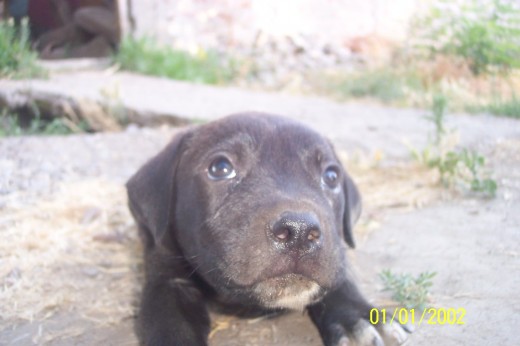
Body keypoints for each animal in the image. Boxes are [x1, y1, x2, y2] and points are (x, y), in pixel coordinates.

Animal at [125, 112, 406, 344]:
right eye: (220, 168)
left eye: (331, 177)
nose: (299, 231)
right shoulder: (166, 278)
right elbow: (171, 324)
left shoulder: (335, 255)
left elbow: (339, 277)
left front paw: (355, 317)